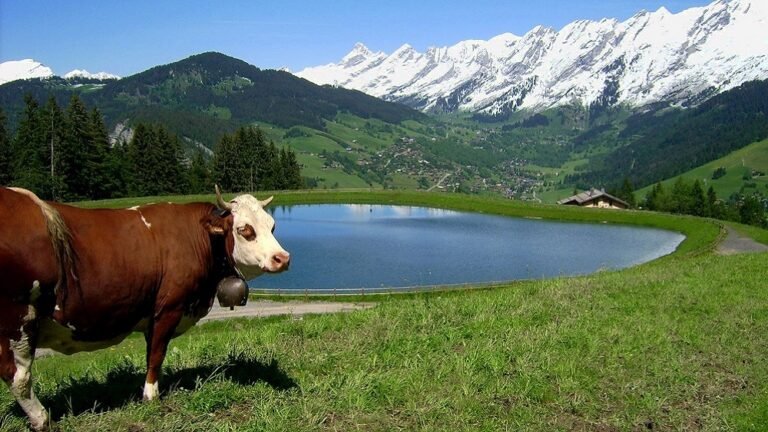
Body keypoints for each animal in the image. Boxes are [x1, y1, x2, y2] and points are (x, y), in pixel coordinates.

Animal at [0, 186, 289, 431]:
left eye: (272, 226)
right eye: (244, 229)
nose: (283, 258)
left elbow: (151, 352)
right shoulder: (169, 308)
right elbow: (157, 354)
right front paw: (151, 396)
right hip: (18, 317)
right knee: (18, 376)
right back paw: (42, 419)